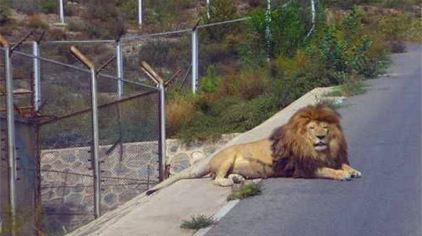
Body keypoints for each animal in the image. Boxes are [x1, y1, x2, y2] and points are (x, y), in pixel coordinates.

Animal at [147, 104, 362, 195]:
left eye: (324, 127)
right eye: (312, 128)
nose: (321, 137)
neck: (318, 149)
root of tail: (210, 159)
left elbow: (342, 164)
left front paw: (353, 170)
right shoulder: (305, 169)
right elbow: (329, 171)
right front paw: (343, 175)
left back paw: (237, 178)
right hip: (228, 157)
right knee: (216, 179)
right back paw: (229, 182)